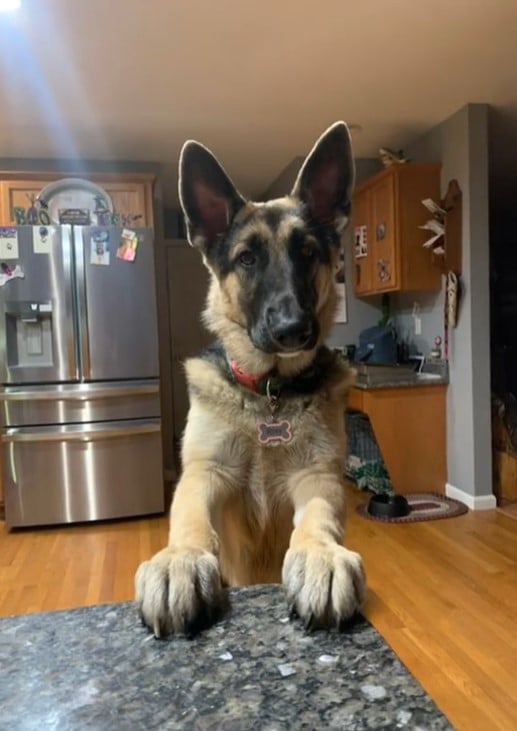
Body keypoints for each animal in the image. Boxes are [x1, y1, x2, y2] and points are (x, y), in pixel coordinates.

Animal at [135, 120, 364, 636]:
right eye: (246, 259)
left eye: (308, 252)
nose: (293, 330)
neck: (268, 393)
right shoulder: (206, 471)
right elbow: (190, 517)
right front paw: (180, 558)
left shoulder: (317, 476)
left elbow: (318, 517)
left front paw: (320, 556)